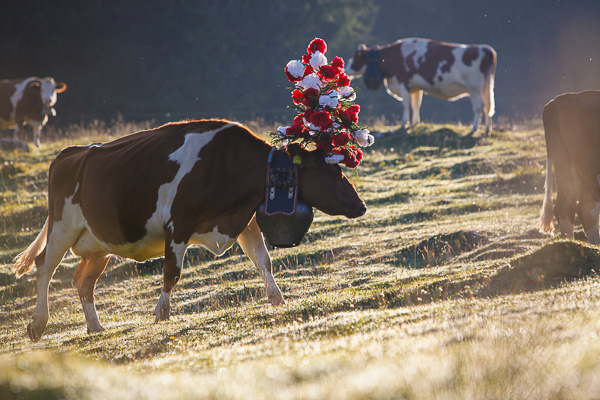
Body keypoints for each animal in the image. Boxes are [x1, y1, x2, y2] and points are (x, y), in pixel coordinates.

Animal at [14, 118, 368, 340]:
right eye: (333, 172)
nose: (361, 206)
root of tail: (73, 152)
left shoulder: (244, 221)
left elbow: (263, 261)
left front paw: (278, 300)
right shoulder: (178, 224)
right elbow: (172, 272)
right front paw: (162, 312)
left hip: (100, 242)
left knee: (82, 281)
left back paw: (95, 328)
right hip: (62, 226)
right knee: (44, 268)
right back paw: (38, 324)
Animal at [346, 38, 496, 137]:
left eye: (355, 57)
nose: (346, 69)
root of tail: (485, 48)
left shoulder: (404, 82)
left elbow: (405, 105)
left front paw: (404, 124)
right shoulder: (415, 88)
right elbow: (416, 105)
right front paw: (415, 123)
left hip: (475, 87)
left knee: (479, 107)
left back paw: (474, 129)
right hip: (486, 87)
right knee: (488, 107)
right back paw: (487, 130)